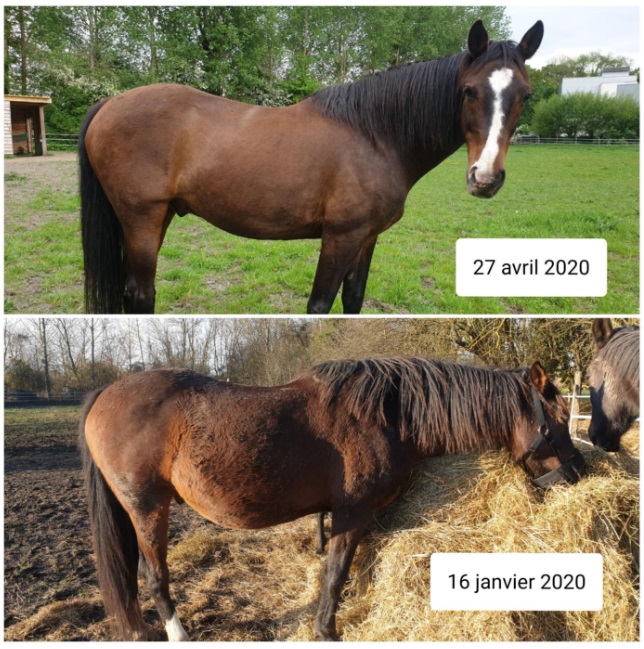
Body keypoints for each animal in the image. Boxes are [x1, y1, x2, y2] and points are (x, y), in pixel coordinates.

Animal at [79, 20, 544, 314]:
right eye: (469, 91)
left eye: (525, 94)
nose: (485, 177)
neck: (375, 135)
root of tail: (110, 102)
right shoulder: (340, 236)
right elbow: (319, 304)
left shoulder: (367, 237)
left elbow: (353, 299)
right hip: (141, 218)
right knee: (142, 295)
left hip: (155, 219)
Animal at [79, 356, 584, 640]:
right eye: (557, 422)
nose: (577, 474)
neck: (389, 417)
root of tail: (105, 393)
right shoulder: (351, 513)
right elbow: (336, 574)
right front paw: (326, 630)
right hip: (147, 508)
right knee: (154, 577)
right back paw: (177, 634)